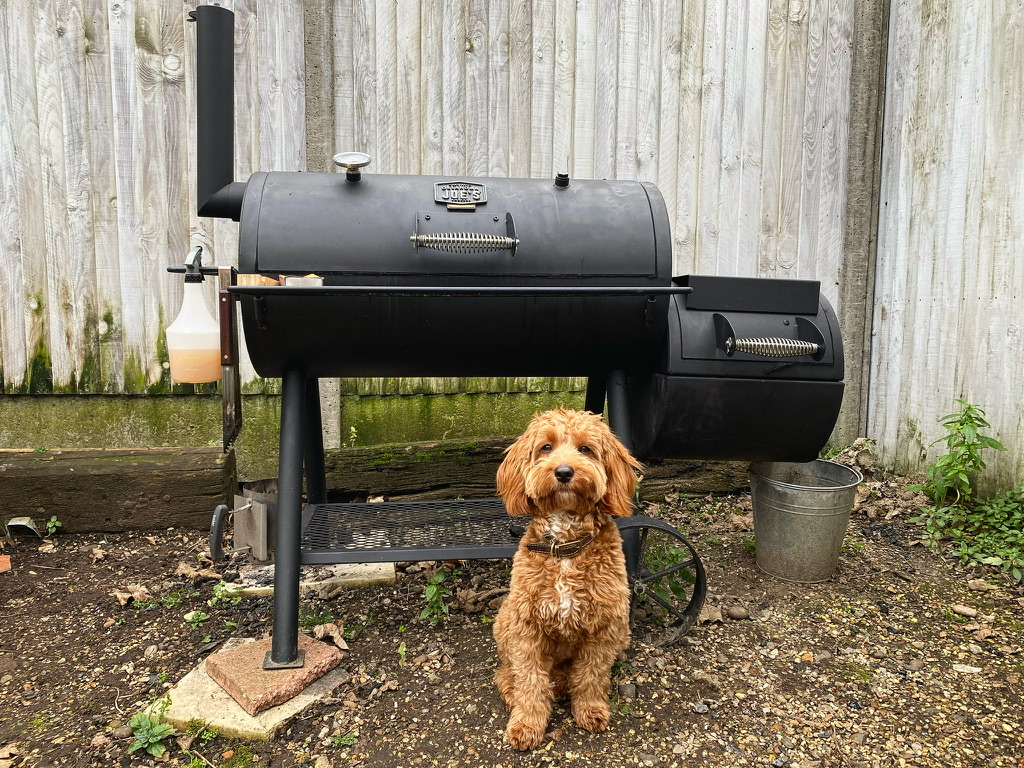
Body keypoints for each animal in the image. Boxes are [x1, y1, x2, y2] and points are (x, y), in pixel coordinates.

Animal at [489, 409, 638, 753]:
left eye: (586, 449)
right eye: (546, 447)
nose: (564, 472)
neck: (565, 546)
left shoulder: (604, 627)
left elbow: (592, 675)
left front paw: (591, 710)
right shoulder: (526, 627)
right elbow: (529, 680)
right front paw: (527, 724)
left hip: (622, 630)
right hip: (505, 618)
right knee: (507, 674)